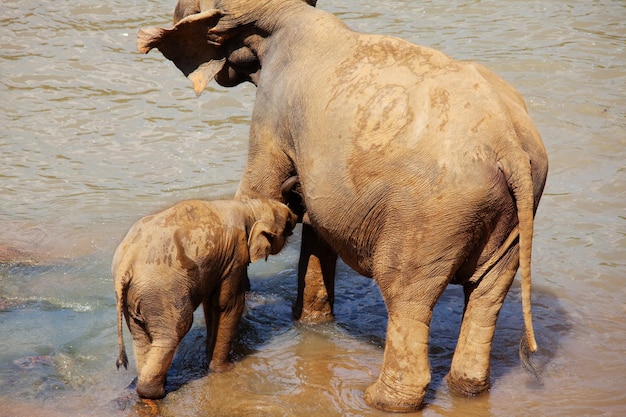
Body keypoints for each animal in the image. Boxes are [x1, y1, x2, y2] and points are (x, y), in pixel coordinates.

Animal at [112, 197, 298, 398]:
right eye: (288, 222)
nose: (297, 216)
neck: (248, 206)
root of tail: (127, 263)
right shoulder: (235, 255)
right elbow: (229, 305)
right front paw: (224, 369)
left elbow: (211, 305)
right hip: (161, 292)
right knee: (176, 329)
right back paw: (155, 392)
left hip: (133, 298)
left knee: (141, 337)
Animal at [135, 0, 544, 410]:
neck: (288, 13)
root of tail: (509, 142)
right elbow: (317, 227)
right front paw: (310, 323)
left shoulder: (272, 111)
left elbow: (258, 191)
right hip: (508, 217)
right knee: (487, 292)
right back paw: (466, 388)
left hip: (432, 214)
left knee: (406, 292)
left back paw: (380, 400)